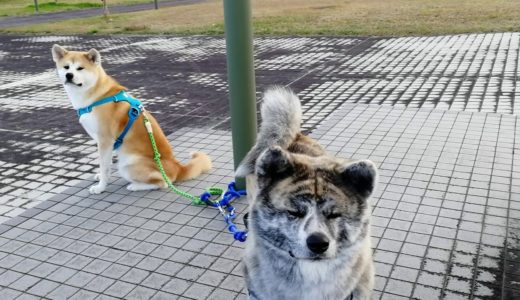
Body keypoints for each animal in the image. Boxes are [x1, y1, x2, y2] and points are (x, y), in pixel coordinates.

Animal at [50, 44, 209, 195]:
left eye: (80, 68)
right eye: (66, 67)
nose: (69, 75)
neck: (98, 95)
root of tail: (178, 167)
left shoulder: (105, 140)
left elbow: (104, 166)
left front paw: (100, 187)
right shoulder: (104, 143)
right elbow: (105, 165)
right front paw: (100, 177)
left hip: (127, 165)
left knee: (163, 183)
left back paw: (135, 186)